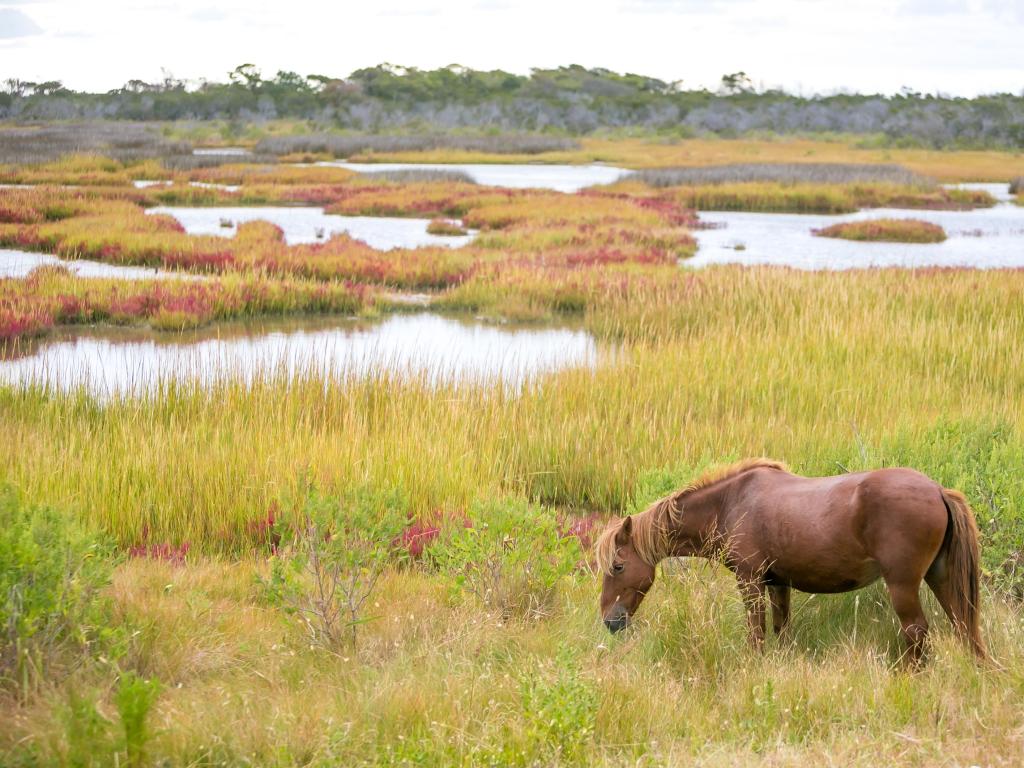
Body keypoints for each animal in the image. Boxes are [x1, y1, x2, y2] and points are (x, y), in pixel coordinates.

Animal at [598, 460, 987, 663]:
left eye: (618, 566)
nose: (610, 622)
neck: (729, 504)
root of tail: (937, 490)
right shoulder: (777, 584)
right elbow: (781, 629)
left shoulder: (750, 581)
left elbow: (756, 632)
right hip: (940, 577)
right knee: (963, 623)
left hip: (903, 584)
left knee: (916, 632)